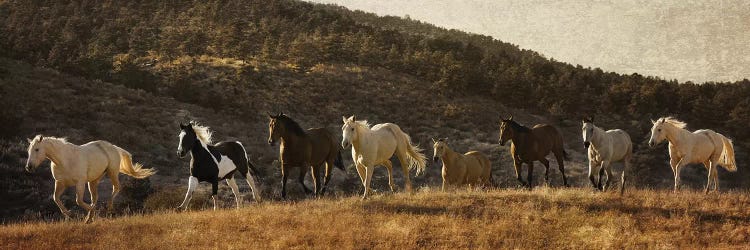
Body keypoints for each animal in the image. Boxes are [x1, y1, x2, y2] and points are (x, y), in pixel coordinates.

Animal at [25, 135, 157, 223]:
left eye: (37, 149)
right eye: (28, 150)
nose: (29, 167)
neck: (64, 160)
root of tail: (114, 147)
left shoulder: (80, 182)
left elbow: (78, 200)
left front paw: (84, 213)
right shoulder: (60, 183)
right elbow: (56, 198)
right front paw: (70, 214)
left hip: (112, 173)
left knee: (116, 188)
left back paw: (107, 208)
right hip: (93, 181)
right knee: (95, 197)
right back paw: (90, 217)